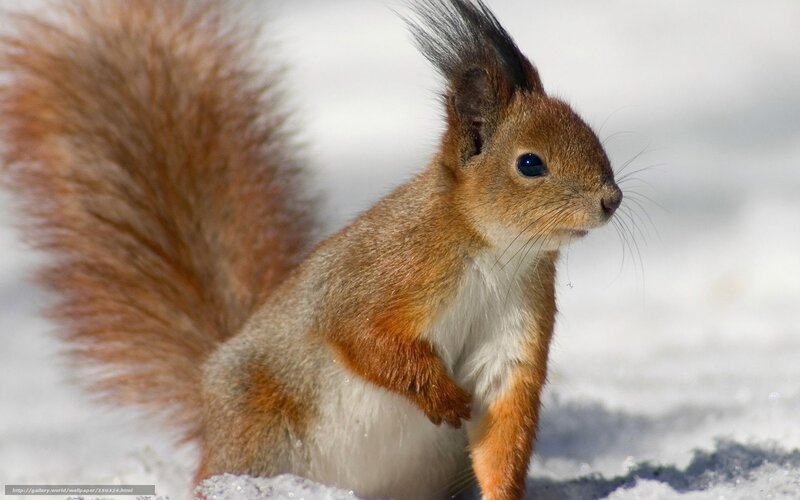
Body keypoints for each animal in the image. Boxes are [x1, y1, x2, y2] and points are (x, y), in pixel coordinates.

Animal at [0, 1, 622, 499]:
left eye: (594, 136)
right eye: (530, 164)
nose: (610, 200)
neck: (496, 251)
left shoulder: (514, 327)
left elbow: (503, 419)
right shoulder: (384, 272)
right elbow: (361, 335)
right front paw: (442, 398)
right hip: (261, 436)